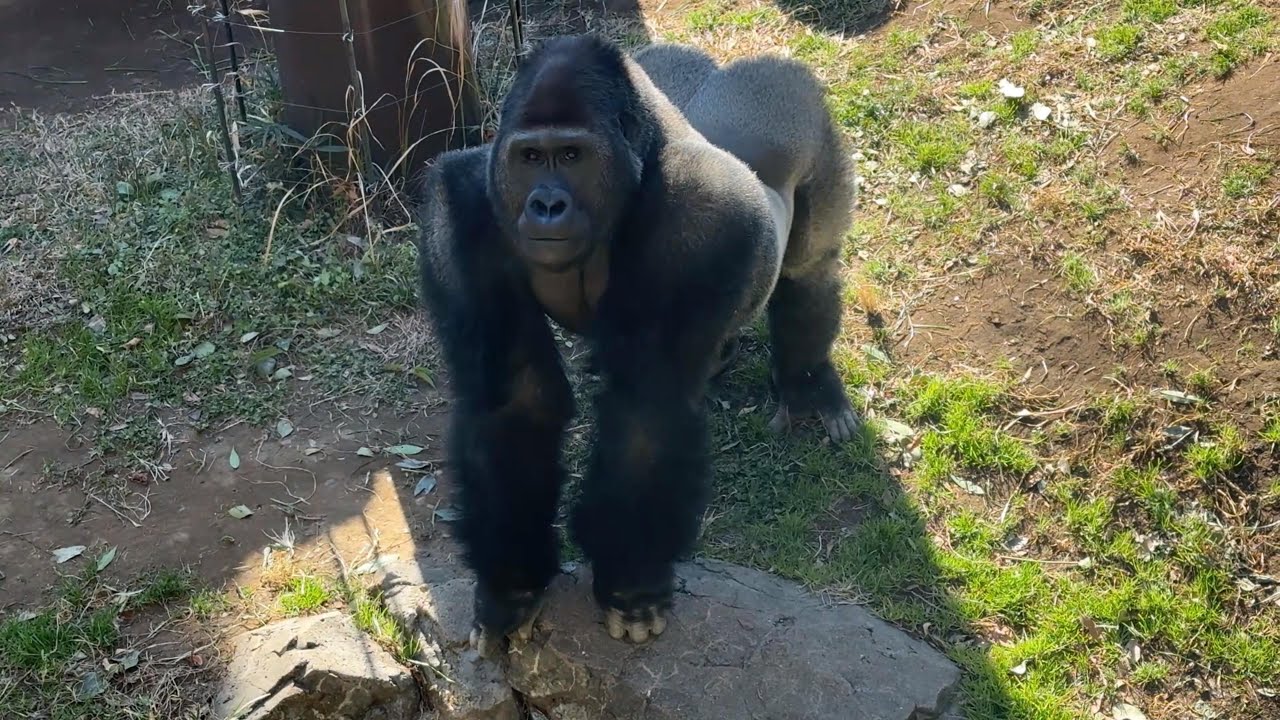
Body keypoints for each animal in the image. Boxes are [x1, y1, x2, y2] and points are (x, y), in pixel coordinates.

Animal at [414, 34, 858, 659]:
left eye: (571, 155)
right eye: (531, 159)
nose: (545, 206)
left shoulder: (700, 220)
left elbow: (647, 411)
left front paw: (631, 585)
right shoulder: (460, 211)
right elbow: (515, 401)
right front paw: (510, 587)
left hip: (798, 107)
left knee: (808, 268)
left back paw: (806, 381)